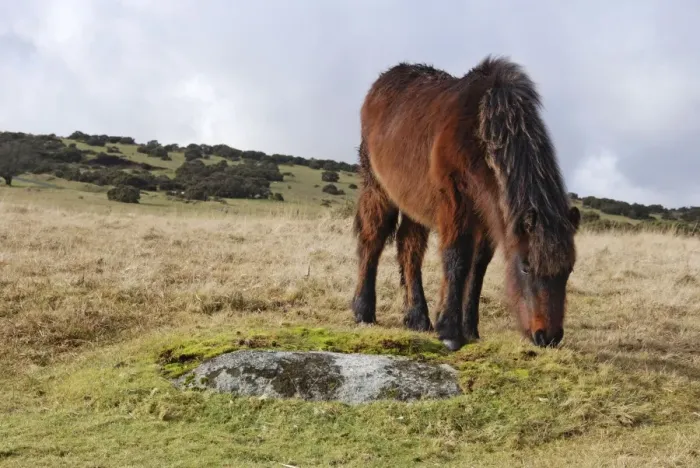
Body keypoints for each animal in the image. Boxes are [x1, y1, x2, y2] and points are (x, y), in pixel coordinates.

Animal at [350, 55, 580, 351]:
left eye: (568, 270)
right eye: (526, 266)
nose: (548, 337)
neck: (479, 132)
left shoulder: (489, 216)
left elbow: (477, 268)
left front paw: (470, 329)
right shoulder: (454, 202)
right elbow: (456, 258)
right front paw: (449, 331)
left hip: (414, 203)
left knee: (409, 249)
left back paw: (417, 318)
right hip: (377, 188)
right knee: (372, 240)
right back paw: (363, 311)